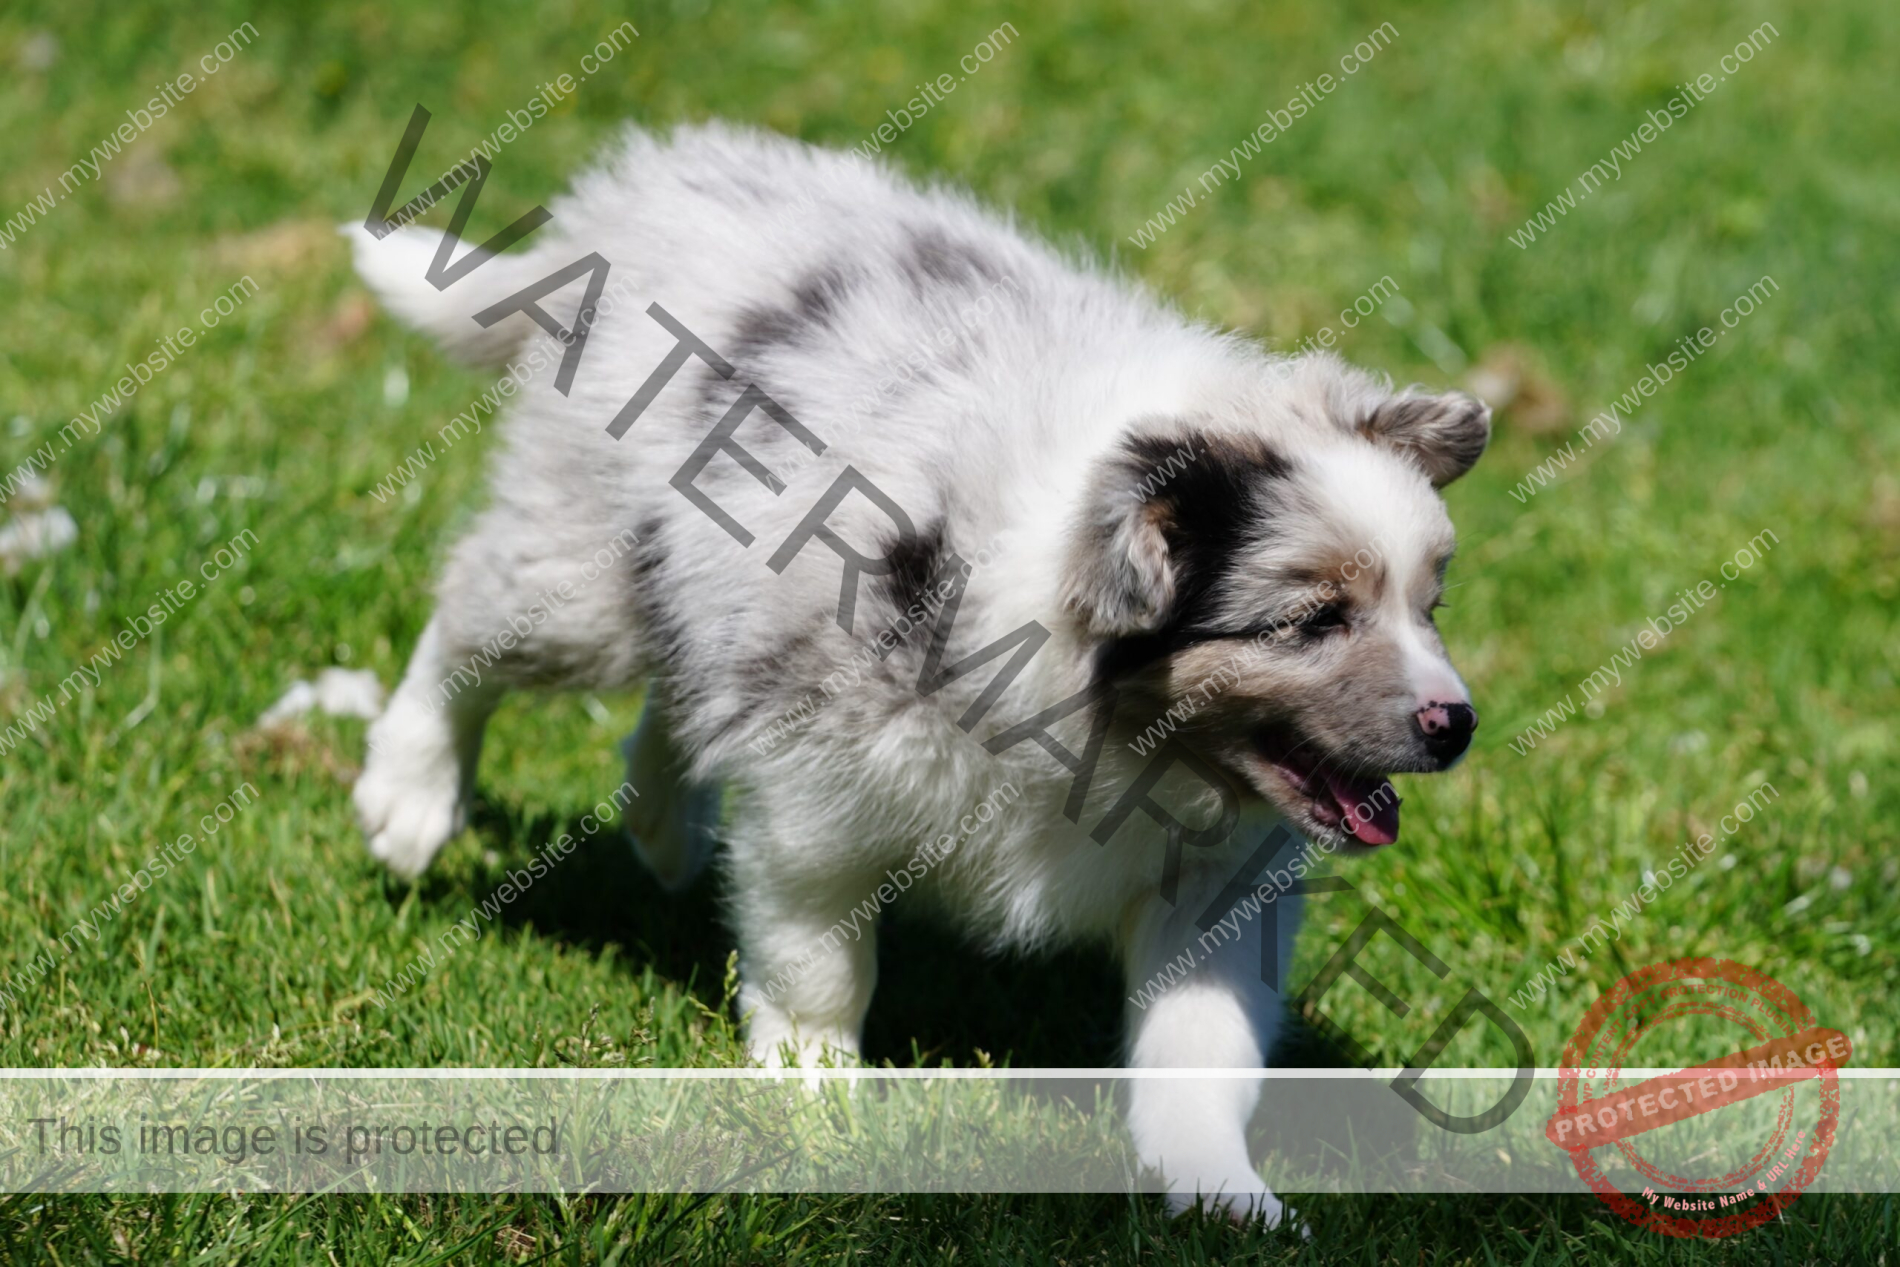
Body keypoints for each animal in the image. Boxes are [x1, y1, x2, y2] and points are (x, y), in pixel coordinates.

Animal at [349, 123, 1489, 1223]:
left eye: (1430, 607)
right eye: (1312, 620)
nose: (1459, 724)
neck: (1113, 732)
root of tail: (634, 194)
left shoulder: (1218, 884)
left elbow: (1199, 1047)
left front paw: (1222, 1194)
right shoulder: (821, 794)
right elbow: (818, 960)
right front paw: (817, 1096)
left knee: (678, 683)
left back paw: (665, 826)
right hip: (583, 566)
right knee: (469, 618)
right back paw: (409, 797)